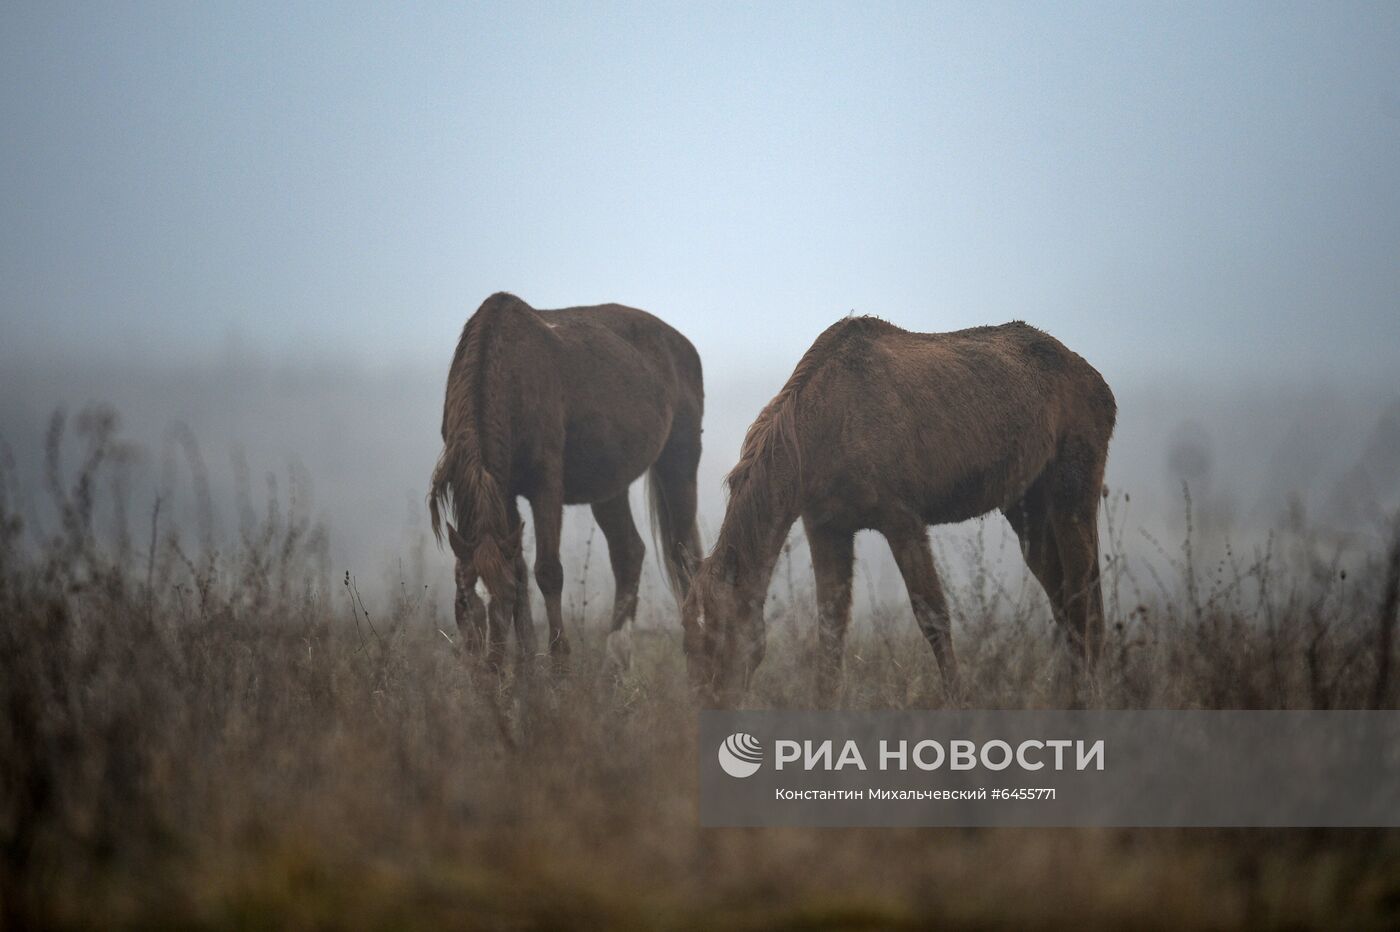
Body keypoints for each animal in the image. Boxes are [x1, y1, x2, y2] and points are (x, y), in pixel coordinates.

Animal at [425, 293, 705, 663]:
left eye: (503, 599)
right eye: (462, 601)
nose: (489, 666)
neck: (506, 369)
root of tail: (683, 345)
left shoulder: (546, 486)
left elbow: (548, 572)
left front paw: (560, 664)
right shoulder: (504, 492)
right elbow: (519, 569)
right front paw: (526, 667)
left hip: (679, 465)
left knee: (685, 557)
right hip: (609, 486)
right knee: (629, 552)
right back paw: (615, 662)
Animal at [677, 312, 1114, 696]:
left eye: (718, 636)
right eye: (689, 646)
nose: (709, 702)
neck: (823, 425)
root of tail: (1097, 382)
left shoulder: (902, 522)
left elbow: (933, 616)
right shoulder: (827, 529)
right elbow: (831, 630)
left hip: (1071, 498)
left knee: (1083, 598)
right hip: (1028, 511)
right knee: (1064, 598)